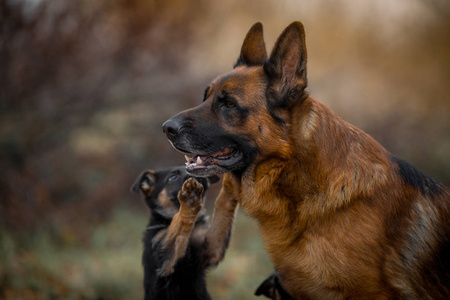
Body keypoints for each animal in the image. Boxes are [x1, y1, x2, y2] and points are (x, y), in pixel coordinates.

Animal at [131, 166, 239, 300]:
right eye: (172, 177)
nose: (197, 176)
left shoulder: (211, 249)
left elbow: (222, 206)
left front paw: (230, 183)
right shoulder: (165, 259)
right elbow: (179, 220)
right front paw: (190, 199)